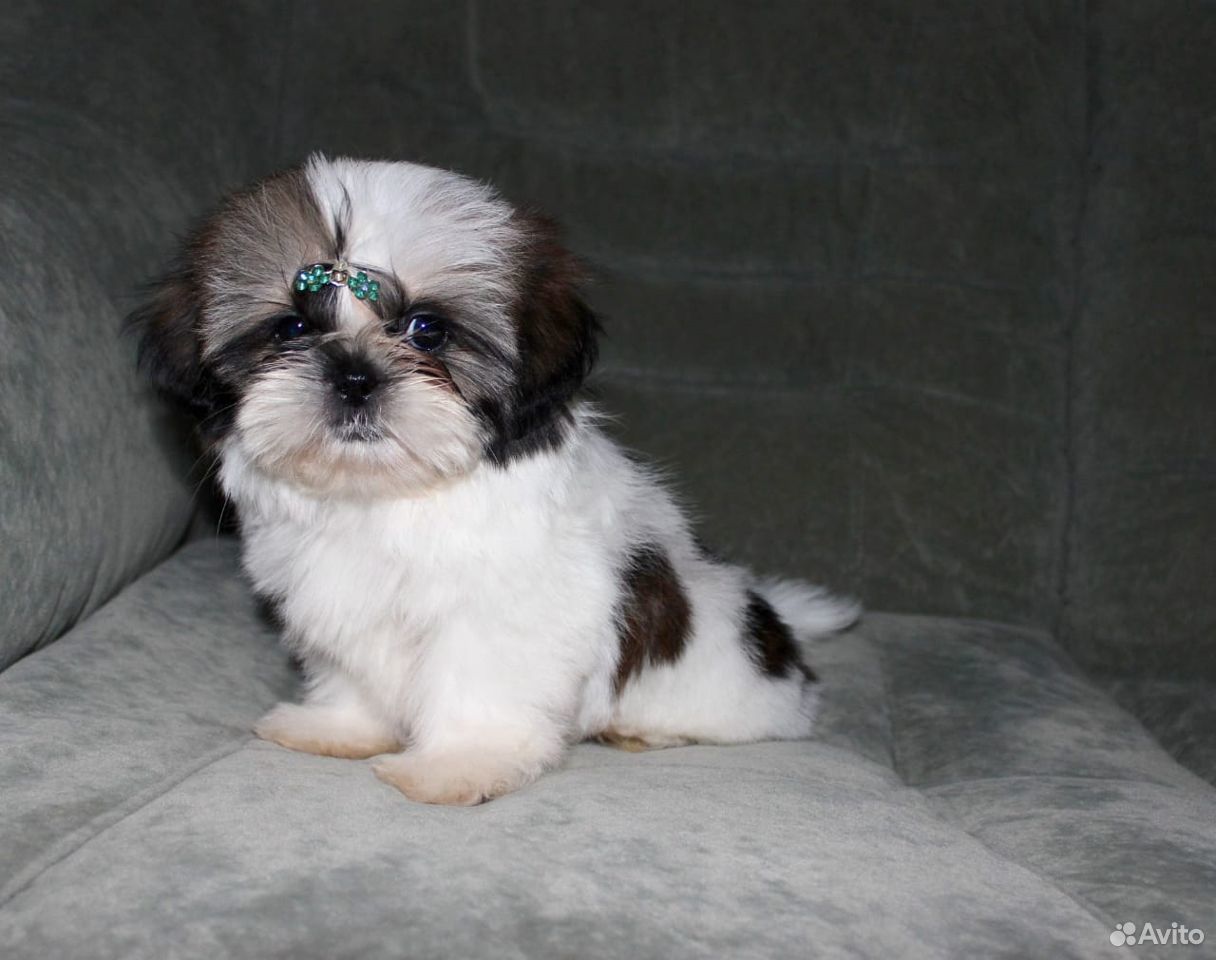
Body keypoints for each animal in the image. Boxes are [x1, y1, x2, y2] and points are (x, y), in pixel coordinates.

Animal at [131, 155, 858, 805]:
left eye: (427, 331)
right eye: (291, 327)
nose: (354, 375)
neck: (388, 495)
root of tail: (775, 635)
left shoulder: (503, 612)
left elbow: (475, 687)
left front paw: (456, 766)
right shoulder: (336, 598)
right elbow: (353, 671)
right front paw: (340, 728)